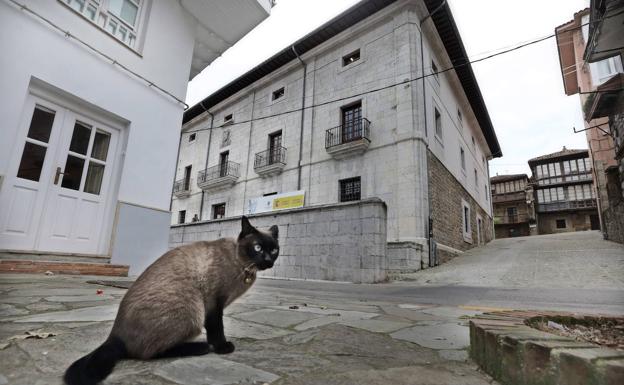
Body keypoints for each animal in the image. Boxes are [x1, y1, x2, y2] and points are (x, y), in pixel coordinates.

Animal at [64, 216, 278, 384]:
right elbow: (217, 328)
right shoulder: (213, 304)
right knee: (146, 354)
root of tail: (114, 335)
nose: (268, 260)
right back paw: (201, 347)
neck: (243, 267)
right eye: (257, 247)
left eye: (274, 250)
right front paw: (222, 347)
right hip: (192, 310)